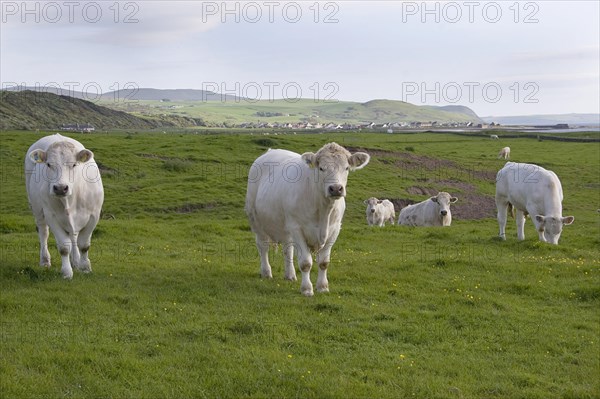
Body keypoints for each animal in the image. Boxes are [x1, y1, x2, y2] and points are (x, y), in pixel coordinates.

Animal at [25, 134, 105, 278]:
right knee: (43, 232)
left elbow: (84, 245)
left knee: (73, 236)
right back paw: (45, 260)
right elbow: (63, 247)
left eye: (74, 164)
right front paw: (67, 272)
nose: (60, 188)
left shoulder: (94, 215)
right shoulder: (51, 216)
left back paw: (76, 261)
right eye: (48, 164)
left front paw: (85, 267)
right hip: (37, 209)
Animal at [245, 144, 370, 296]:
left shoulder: (334, 230)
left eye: (346, 168)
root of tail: (270, 151)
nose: (336, 189)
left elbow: (324, 262)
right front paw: (307, 289)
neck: (324, 211)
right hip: (256, 219)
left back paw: (290, 275)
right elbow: (305, 263)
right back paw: (266, 272)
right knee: (263, 246)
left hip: (286, 226)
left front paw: (323, 287)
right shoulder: (297, 228)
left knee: (288, 249)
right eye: (321, 168)